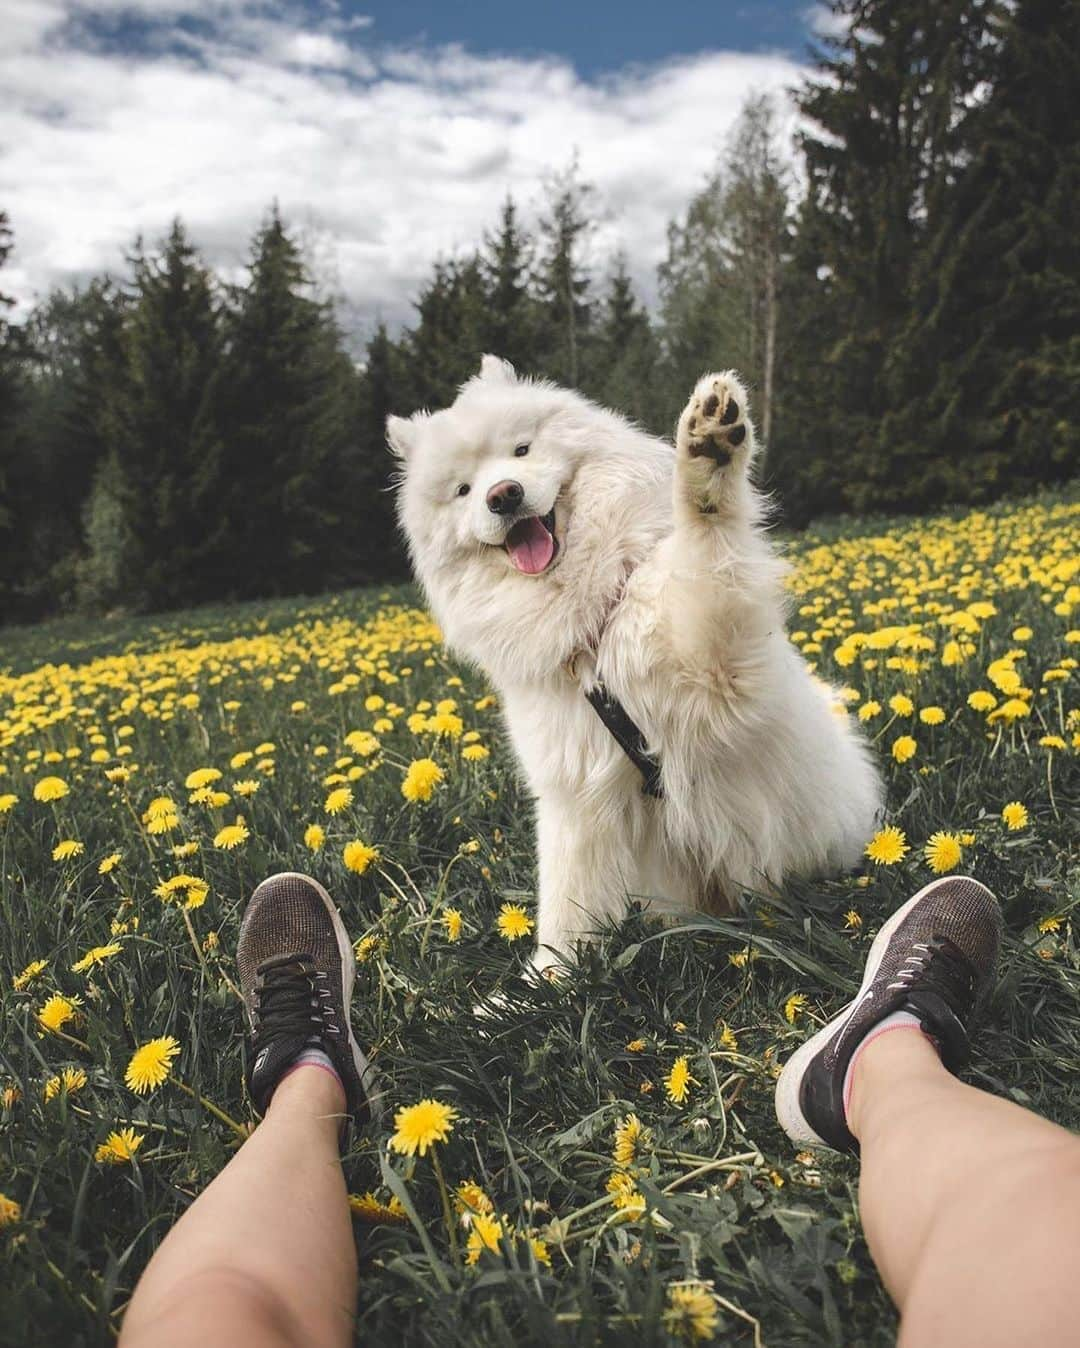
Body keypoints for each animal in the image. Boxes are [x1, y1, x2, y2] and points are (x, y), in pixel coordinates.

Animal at [391, 358, 879, 970]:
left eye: (522, 449)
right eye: (462, 490)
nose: (502, 495)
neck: (594, 622)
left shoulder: (717, 673)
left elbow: (705, 544)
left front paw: (708, 455)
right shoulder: (574, 794)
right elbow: (567, 901)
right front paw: (552, 978)